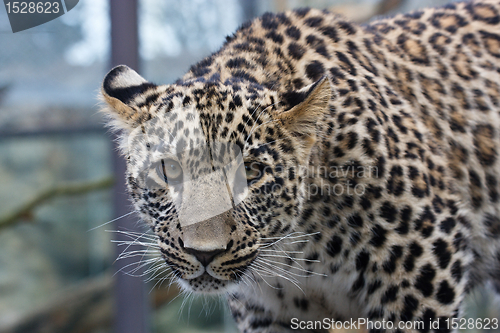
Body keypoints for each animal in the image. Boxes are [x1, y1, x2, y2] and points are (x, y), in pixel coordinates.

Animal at [98, 1, 500, 330]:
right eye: (169, 170)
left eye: (252, 173)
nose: (204, 253)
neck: (295, 250)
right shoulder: (265, 312)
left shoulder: (424, 264)